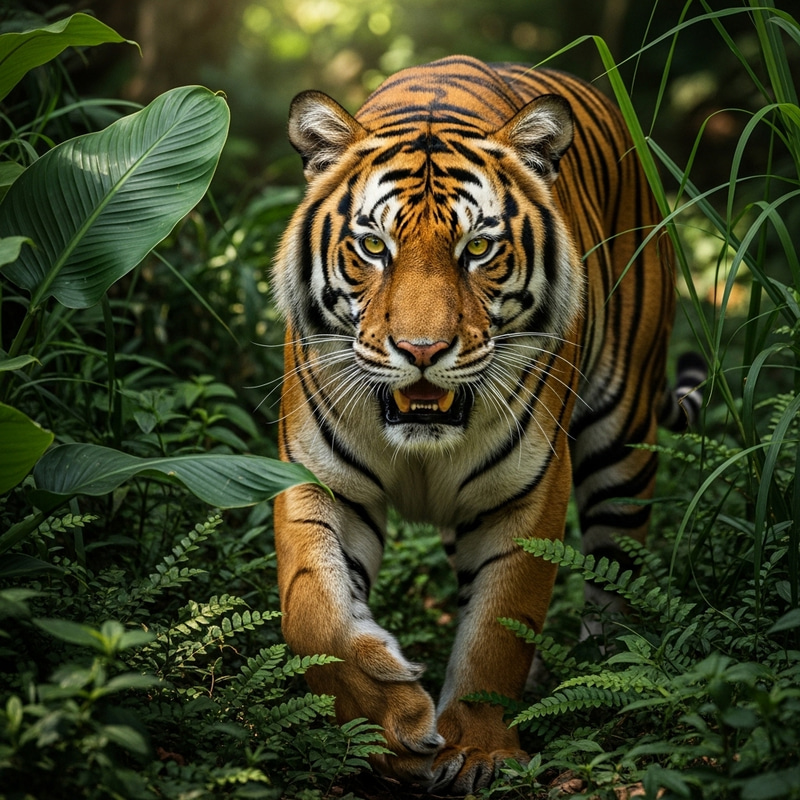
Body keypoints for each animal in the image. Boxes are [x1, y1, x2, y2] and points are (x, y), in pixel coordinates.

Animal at [270, 55, 702, 794]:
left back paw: (603, 673)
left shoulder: (526, 492)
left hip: (623, 431)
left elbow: (498, 627)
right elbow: (314, 614)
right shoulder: (318, 480)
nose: (421, 350)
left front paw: (478, 751)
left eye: (478, 248)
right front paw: (393, 725)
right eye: (373, 246)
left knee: (615, 563)